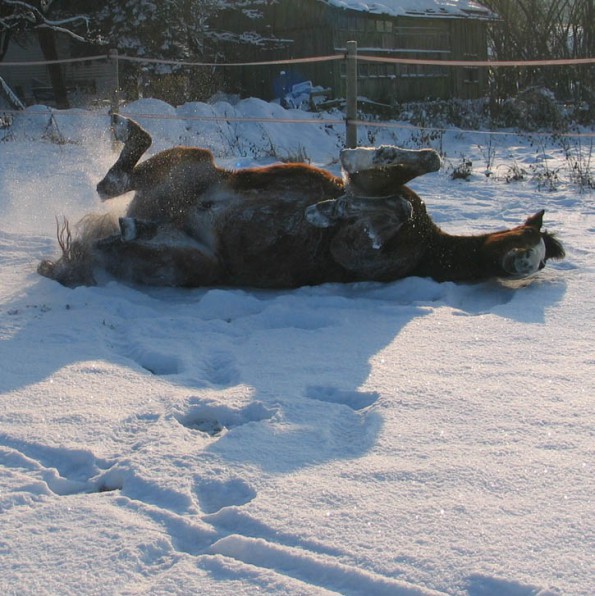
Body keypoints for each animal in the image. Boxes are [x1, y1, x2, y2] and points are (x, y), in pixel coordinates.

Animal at [35, 116, 564, 288]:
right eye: (528, 237)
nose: (521, 266)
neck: (430, 246)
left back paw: (127, 230)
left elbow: (391, 207)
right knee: (116, 178)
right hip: (192, 163)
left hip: (193, 261)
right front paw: (367, 158)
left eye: (541, 261)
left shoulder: (355, 249)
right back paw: (125, 130)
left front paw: (325, 211)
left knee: (118, 213)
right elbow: (407, 178)